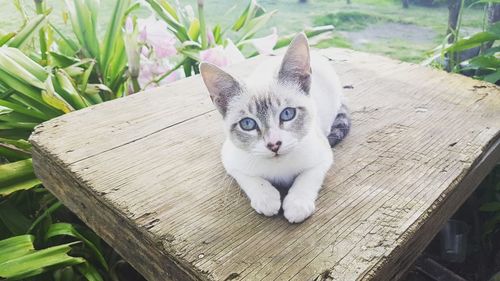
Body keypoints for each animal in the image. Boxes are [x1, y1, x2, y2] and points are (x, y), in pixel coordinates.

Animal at [198, 32, 348, 222]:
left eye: (287, 113)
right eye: (247, 124)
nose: (274, 144)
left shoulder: (322, 153)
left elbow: (309, 176)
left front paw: (297, 203)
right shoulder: (230, 158)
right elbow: (248, 177)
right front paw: (266, 198)